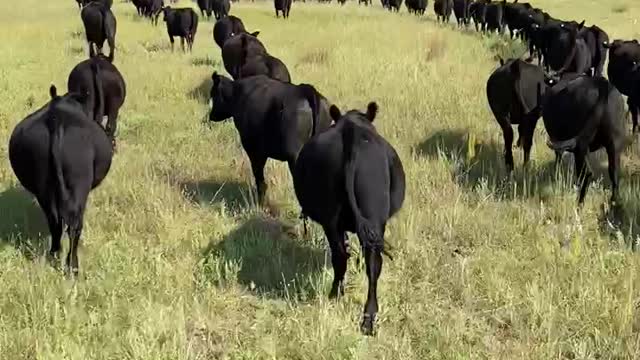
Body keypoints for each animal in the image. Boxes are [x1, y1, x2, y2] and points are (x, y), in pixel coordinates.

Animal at [8, 86, 113, 276]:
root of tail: (56, 119)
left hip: (43, 186)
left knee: (54, 222)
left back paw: (54, 255)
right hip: (79, 183)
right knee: (74, 225)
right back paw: (73, 266)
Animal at [209, 72, 332, 205]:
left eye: (213, 95)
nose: (210, 115)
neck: (237, 93)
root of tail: (306, 91)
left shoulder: (254, 149)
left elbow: (259, 177)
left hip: (295, 158)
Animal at [292, 101, 404, 334]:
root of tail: (352, 134)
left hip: (333, 220)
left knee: (343, 256)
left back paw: (337, 295)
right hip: (371, 218)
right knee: (371, 263)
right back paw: (368, 318)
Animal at [540, 74, 624, 205]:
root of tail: (602, 86)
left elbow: (558, 160)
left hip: (581, 147)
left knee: (586, 173)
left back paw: (579, 202)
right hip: (614, 144)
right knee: (614, 171)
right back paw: (614, 201)